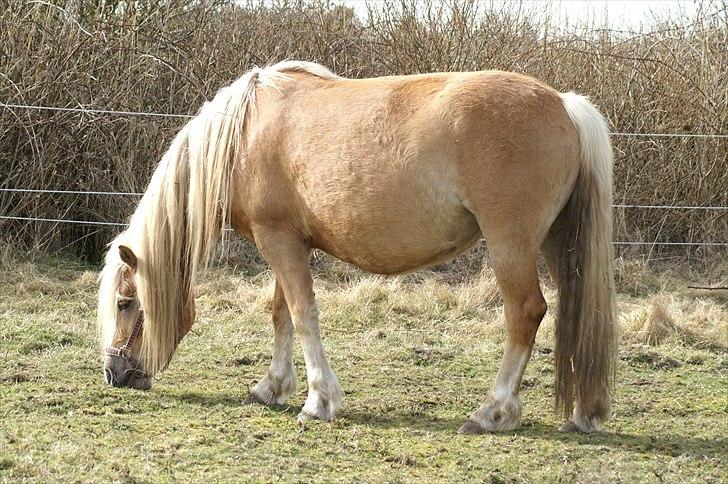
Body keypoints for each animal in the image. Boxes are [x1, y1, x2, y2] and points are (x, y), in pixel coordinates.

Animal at [98, 60, 616, 434]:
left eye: (125, 303)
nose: (113, 374)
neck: (243, 134)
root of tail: (565, 105)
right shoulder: (288, 241)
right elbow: (281, 312)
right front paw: (271, 388)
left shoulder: (277, 239)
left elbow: (303, 313)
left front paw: (318, 401)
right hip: (557, 244)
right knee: (578, 312)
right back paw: (582, 413)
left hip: (511, 244)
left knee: (526, 312)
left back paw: (493, 412)